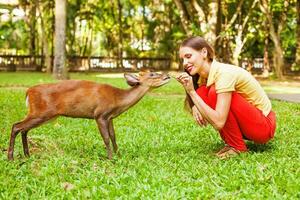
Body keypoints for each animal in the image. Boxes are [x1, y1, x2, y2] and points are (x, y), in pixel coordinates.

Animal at [7, 69, 171, 160]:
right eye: (152, 74)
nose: (168, 76)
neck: (118, 99)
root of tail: (28, 92)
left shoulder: (110, 117)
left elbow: (113, 136)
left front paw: (119, 155)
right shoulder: (100, 114)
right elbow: (106, 138)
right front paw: (110, 158)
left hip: (41, 114)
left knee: (24, 129)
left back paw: (27, 155)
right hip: (41, 112)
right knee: (16, 126)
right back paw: (10, 157)